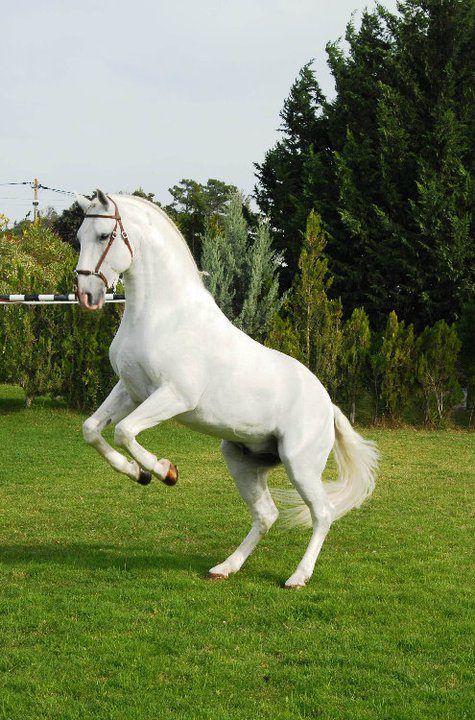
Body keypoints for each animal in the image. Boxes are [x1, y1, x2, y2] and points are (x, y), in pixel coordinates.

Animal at [74, 189, 378, 588]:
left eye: (103, 236)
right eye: (79, 237)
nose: (86, 294)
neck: (162, 315)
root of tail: (329, 406)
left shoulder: (174, 396)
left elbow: (124, 431)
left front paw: (165, 471)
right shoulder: (130, 390)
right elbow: (92, 430)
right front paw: (138, 474)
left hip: (300, 464)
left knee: (323, 513)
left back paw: (297, 577)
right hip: (242, 460)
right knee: (266, 514)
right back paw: (225, 567)